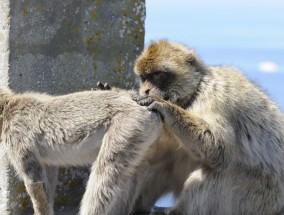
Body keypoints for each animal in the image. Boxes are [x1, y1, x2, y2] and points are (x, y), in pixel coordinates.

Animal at [0, 87, 162, 215]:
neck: (8, 108)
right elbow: (48, 177)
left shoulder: (17, 134)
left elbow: (34, 180)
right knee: (129, 173)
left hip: (129, 124)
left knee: (106, 172)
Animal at [132, 40, 284, 213]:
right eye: (143, 78)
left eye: (157, 75)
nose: (145, 90)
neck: (194, 92)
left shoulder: (214, 97)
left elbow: (218, 146)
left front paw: (163, 105)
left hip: (258, 198)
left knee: (221, 170)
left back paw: (179, 211)